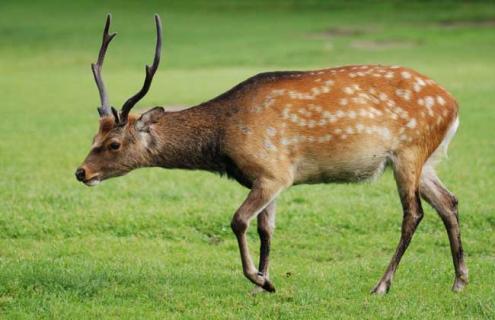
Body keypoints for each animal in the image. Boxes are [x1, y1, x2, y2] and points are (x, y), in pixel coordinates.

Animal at [76, 14, 468, 296]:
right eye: (94, 134)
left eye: (114, 144)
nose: (81, 172)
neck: (222, 140)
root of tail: (453, 105)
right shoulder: (270, 179)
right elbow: (266, 228)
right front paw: (265, 283)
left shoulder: (273, 171)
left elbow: (238, 221)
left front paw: (259, 279)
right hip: (425, 160)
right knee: (449, 202)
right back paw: (459, 281)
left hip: (409, 151)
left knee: (413, 213)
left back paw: (382, 285)